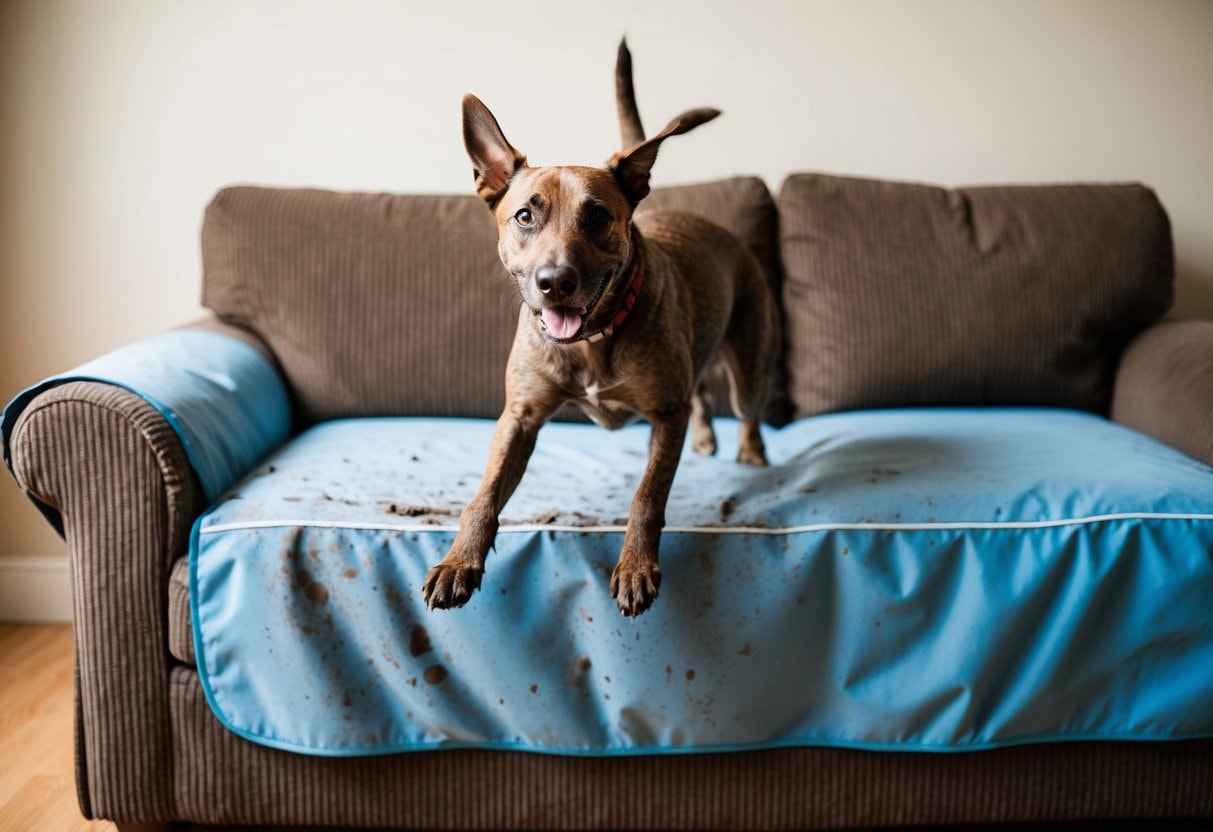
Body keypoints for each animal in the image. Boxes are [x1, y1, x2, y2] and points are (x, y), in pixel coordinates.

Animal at [419, 40, 776, 618]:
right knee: (702, 389)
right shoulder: (519, 417)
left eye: (598, 217)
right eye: (524, 216)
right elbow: (483, 496)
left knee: (745, 408)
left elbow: (647, 496)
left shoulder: (665, 416)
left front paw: (635, 566)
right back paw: (707, 437)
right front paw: (458, 561)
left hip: (748, 363)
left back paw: (751, 450)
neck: (592, 340)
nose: (555, 282)